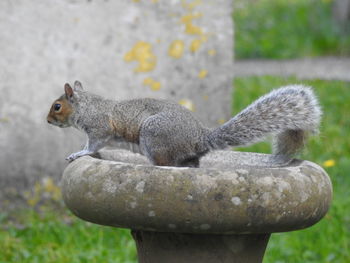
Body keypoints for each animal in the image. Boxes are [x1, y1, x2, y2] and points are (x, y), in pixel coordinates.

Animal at [47, 81, 322, 167]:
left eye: (57, 106)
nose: (47, 120)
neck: (87, 106)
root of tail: (199, 138)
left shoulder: (99, 128)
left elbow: (92, 146)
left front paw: (78, 153)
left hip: (153, 136)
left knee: (168, 165)